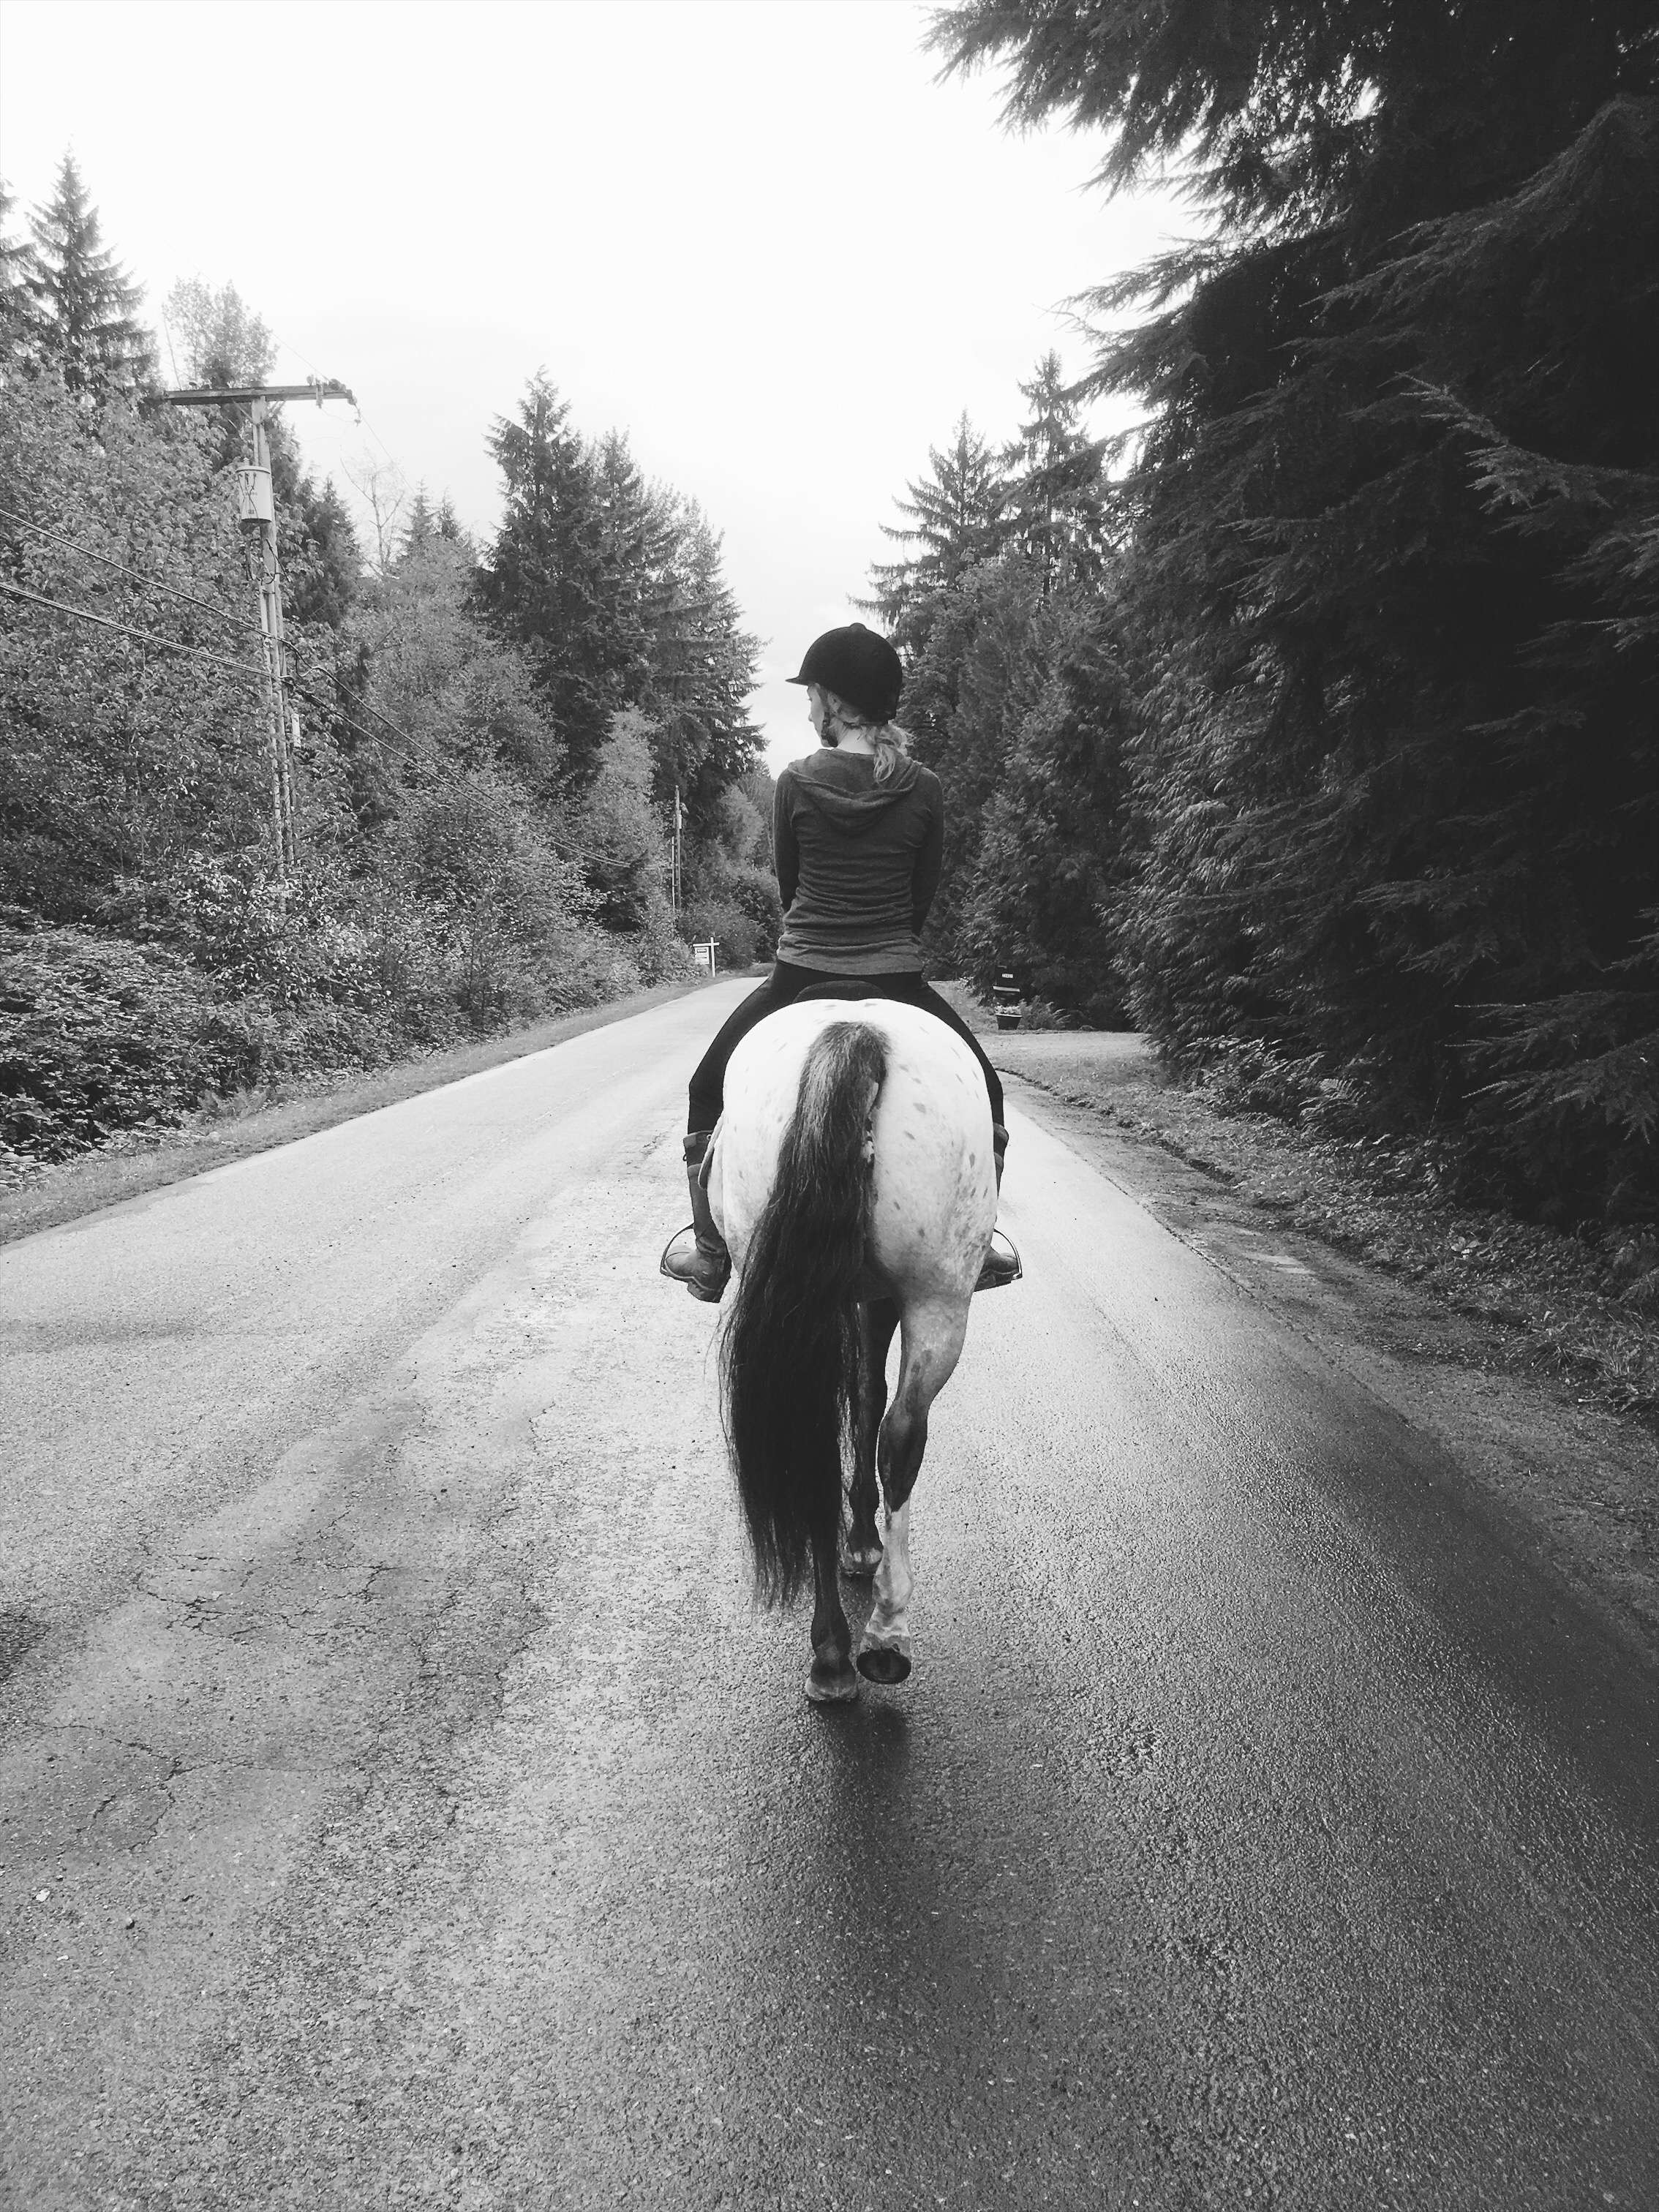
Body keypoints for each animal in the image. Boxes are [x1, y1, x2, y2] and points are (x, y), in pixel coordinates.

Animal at [702, 997, 1000, 1704]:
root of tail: (856, 1034)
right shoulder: (874, 1296)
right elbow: (868, 1399)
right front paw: (862, 1545)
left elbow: (863, 1400)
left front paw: (858, 1544)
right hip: (937, 1296)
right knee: (901, 1433)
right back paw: (879, 1637)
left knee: (827, 1435)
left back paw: (845, 1652)